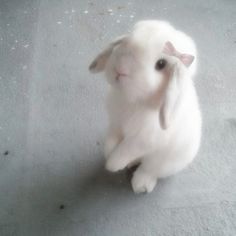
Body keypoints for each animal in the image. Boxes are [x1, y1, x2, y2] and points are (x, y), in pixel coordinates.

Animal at [88, 20, 201, 194]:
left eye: (161, 64)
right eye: (125, 42)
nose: (120, 69)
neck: (135, 102)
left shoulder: (141, 140)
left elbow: (124, 151)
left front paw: (112, 165)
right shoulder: (115, 125)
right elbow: (111, 141)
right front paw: (108, 153)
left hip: (162, 163)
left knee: (148, 170)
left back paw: (141, 185)